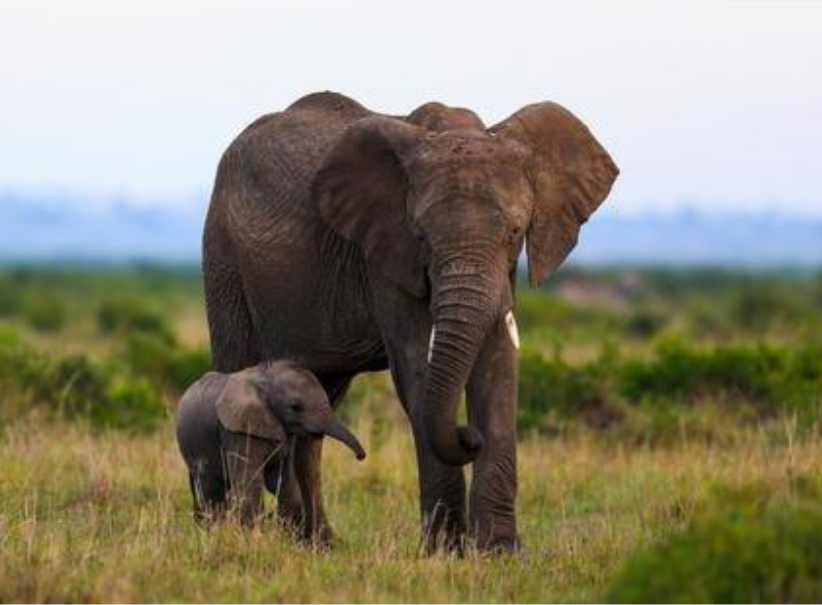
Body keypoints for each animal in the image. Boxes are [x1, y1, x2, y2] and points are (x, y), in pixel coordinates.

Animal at [175, 360, 366, 528]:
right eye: (295, 407)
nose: (361, 456)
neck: (265, 379)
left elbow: (283, 483)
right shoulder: (237, 430)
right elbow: (250, 485)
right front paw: (253, 536)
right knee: (209, 488)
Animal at [204, 91, 616, 552]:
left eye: (514, 231)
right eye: (421, 236)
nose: (467, 436)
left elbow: (499, 365)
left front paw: (499, 552)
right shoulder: (383, 253)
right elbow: (417, 363)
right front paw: (445, 551)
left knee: (315, 406)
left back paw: (317, 544)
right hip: (223, 255)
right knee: (236, 370)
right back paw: (239, 533)